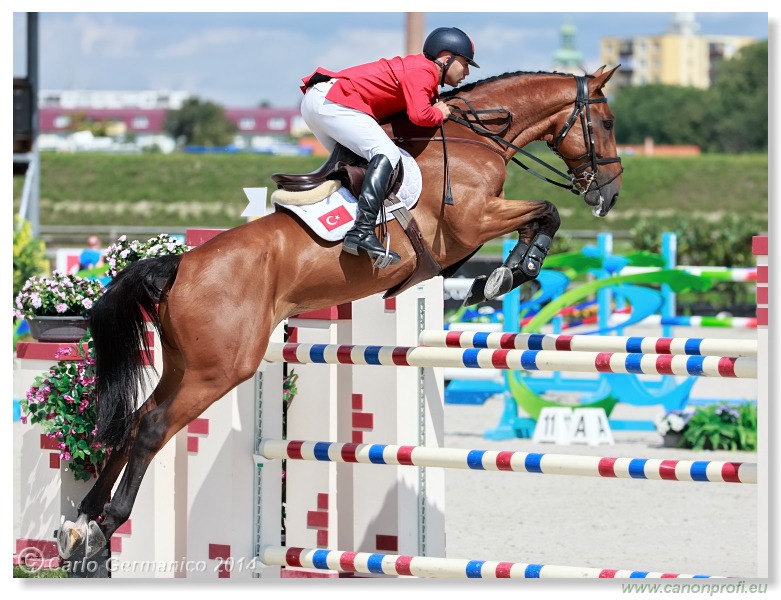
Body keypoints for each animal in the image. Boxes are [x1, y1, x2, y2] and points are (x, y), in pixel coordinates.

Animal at [58, 65, 620, 556]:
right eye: (608, 124)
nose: (609, 195)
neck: (472, 139)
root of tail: (180, 264)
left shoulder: (464, 239)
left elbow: (525, 228)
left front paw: (495, 277)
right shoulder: (474, 219)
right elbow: (547, 211)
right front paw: (511, 272)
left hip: (184, 364)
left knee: (136, 420)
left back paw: (83, 519)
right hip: (218, 369)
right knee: (153, 428)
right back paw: (106, 524)